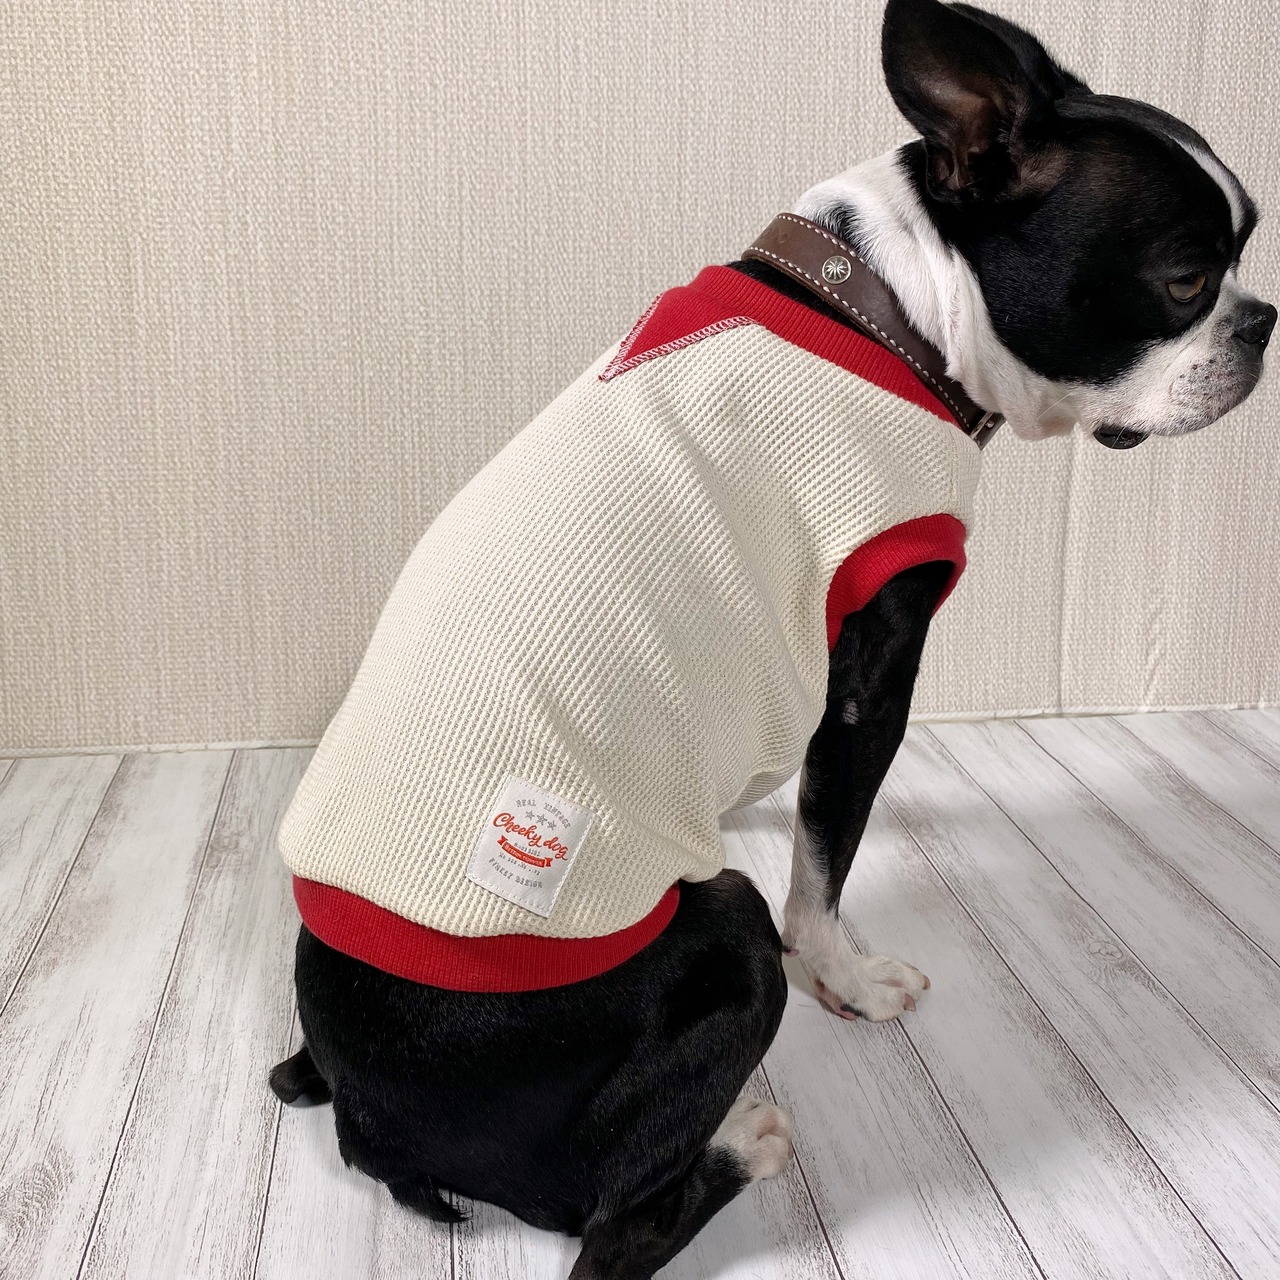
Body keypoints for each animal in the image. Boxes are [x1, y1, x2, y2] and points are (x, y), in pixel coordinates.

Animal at [269, 2, 1274, 1276]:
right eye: (1185, 279)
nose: (1263, 320)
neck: (887, 310)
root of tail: (366, 1113)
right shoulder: (872, 666)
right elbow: (820, 869)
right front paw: (850, 975)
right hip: (722, 940)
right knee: (611, 1221)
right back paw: (741, 1137)